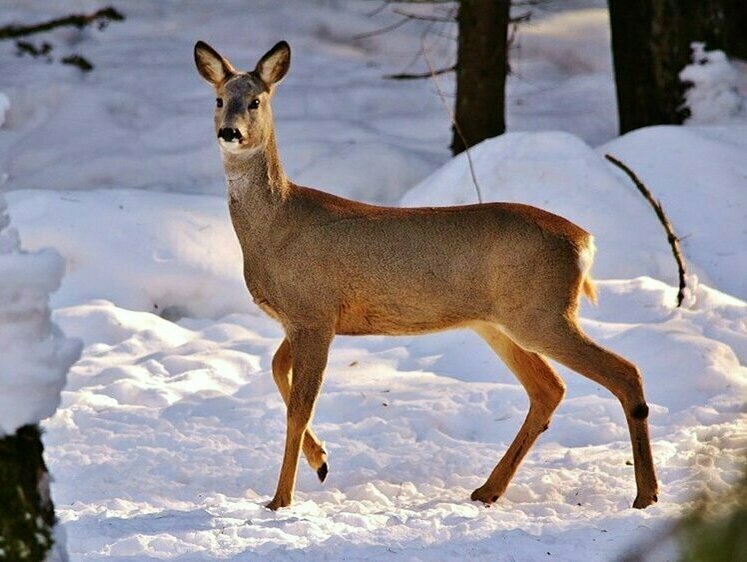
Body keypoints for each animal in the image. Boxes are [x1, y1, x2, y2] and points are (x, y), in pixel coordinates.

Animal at [194, 39, 660, 510]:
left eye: (255, 101)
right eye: (219, 100)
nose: (230, 132)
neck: (274, 226)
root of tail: (584, 241)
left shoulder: (315, 313)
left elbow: (299, 408)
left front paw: (280, 499)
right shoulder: (303, 319)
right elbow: (276, 371)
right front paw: (321, 461)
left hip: (542, 313)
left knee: (625, 372)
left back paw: (646, 494)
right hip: (498, 322)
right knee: (549, 389)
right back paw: (488, 489)